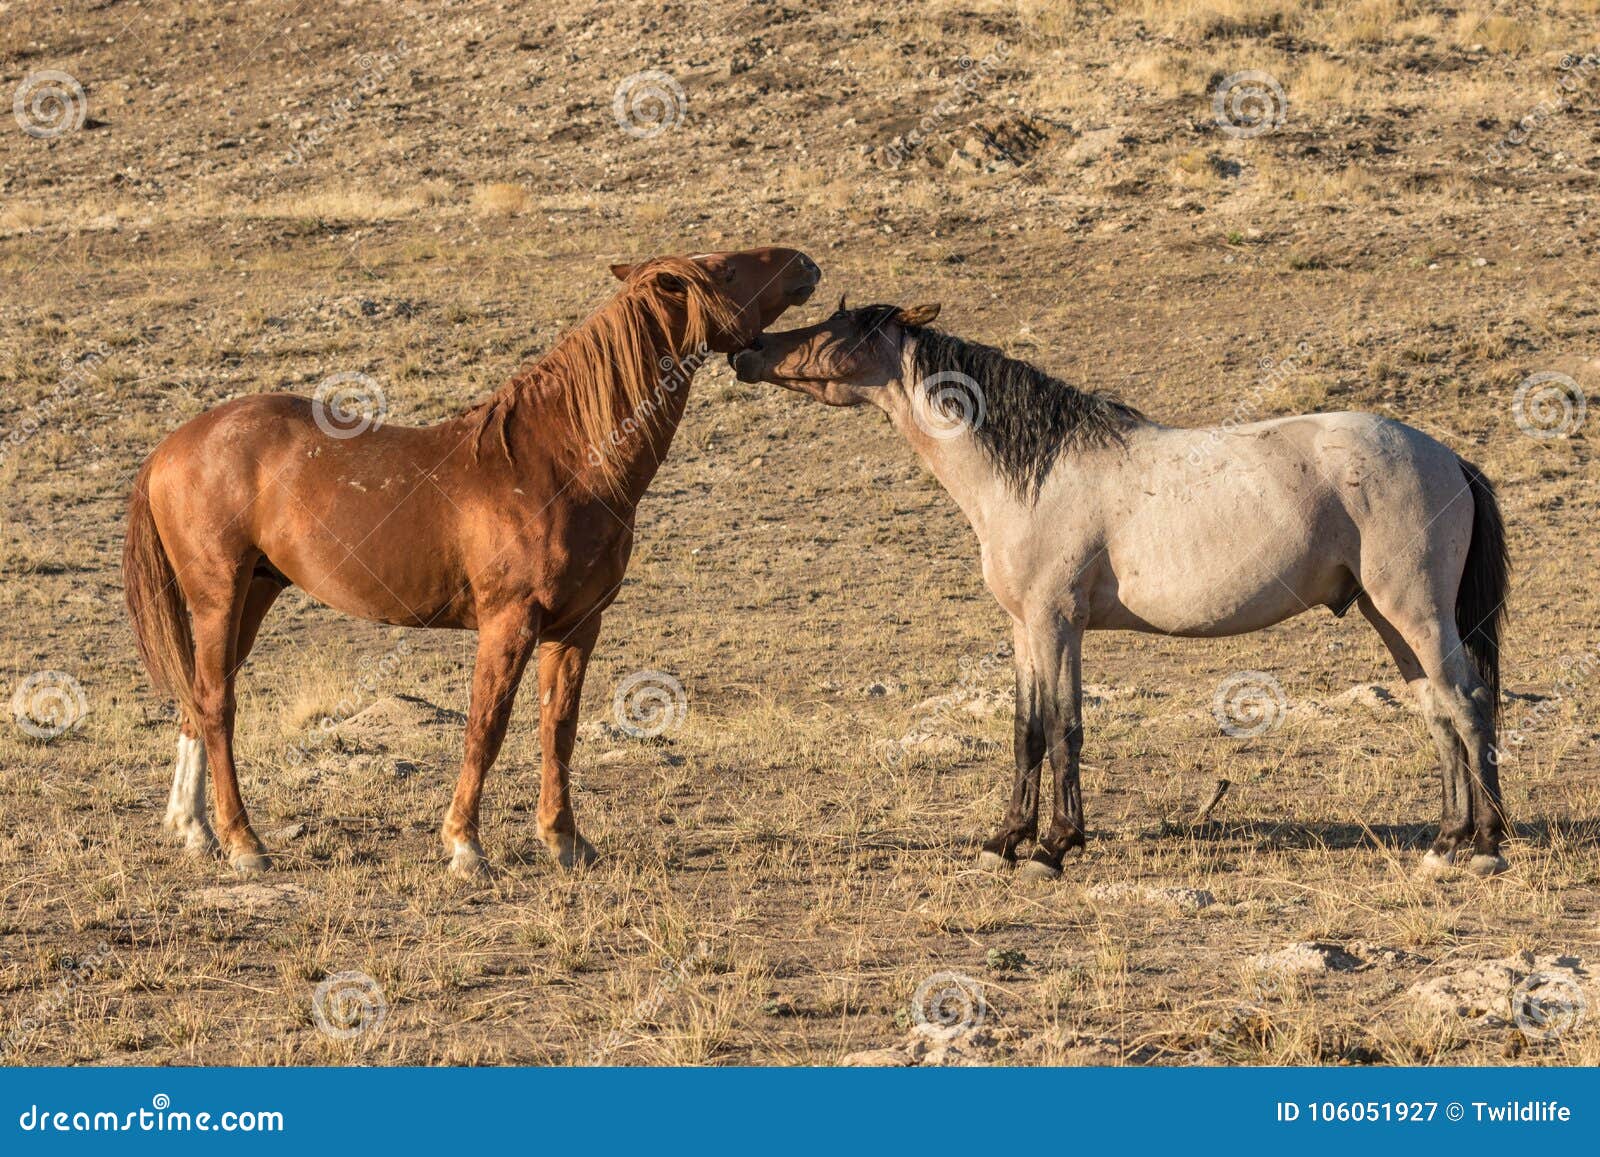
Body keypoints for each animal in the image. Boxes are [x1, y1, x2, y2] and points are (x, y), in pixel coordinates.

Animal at [124, 247, 822, 876]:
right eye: (725, 268)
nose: (806, 264)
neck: (563, 463)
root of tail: (171, 447)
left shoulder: (577, 625)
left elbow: (558, 728)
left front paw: (564, 841)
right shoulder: (508, 622)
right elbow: (487, 725)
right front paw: (466, 847)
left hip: (253, 595)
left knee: (196, 699)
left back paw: (194, 831)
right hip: (219, 597)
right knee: (217, 705)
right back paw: (244, 844)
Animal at [731, 298, 1511, 880]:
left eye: (838, 329)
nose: (747, 350)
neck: (1036, 472)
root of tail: (1447, 456)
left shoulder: (1057, 622)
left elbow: (1063, 727)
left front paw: (1053, 848)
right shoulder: (1025, 628)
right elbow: (1026, 730)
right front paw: (1005, 840)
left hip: (1416, 611)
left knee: (1468, 702)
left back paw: (1485, 846)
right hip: (1389, 617)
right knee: (1437, 711)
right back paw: (1446, 840)